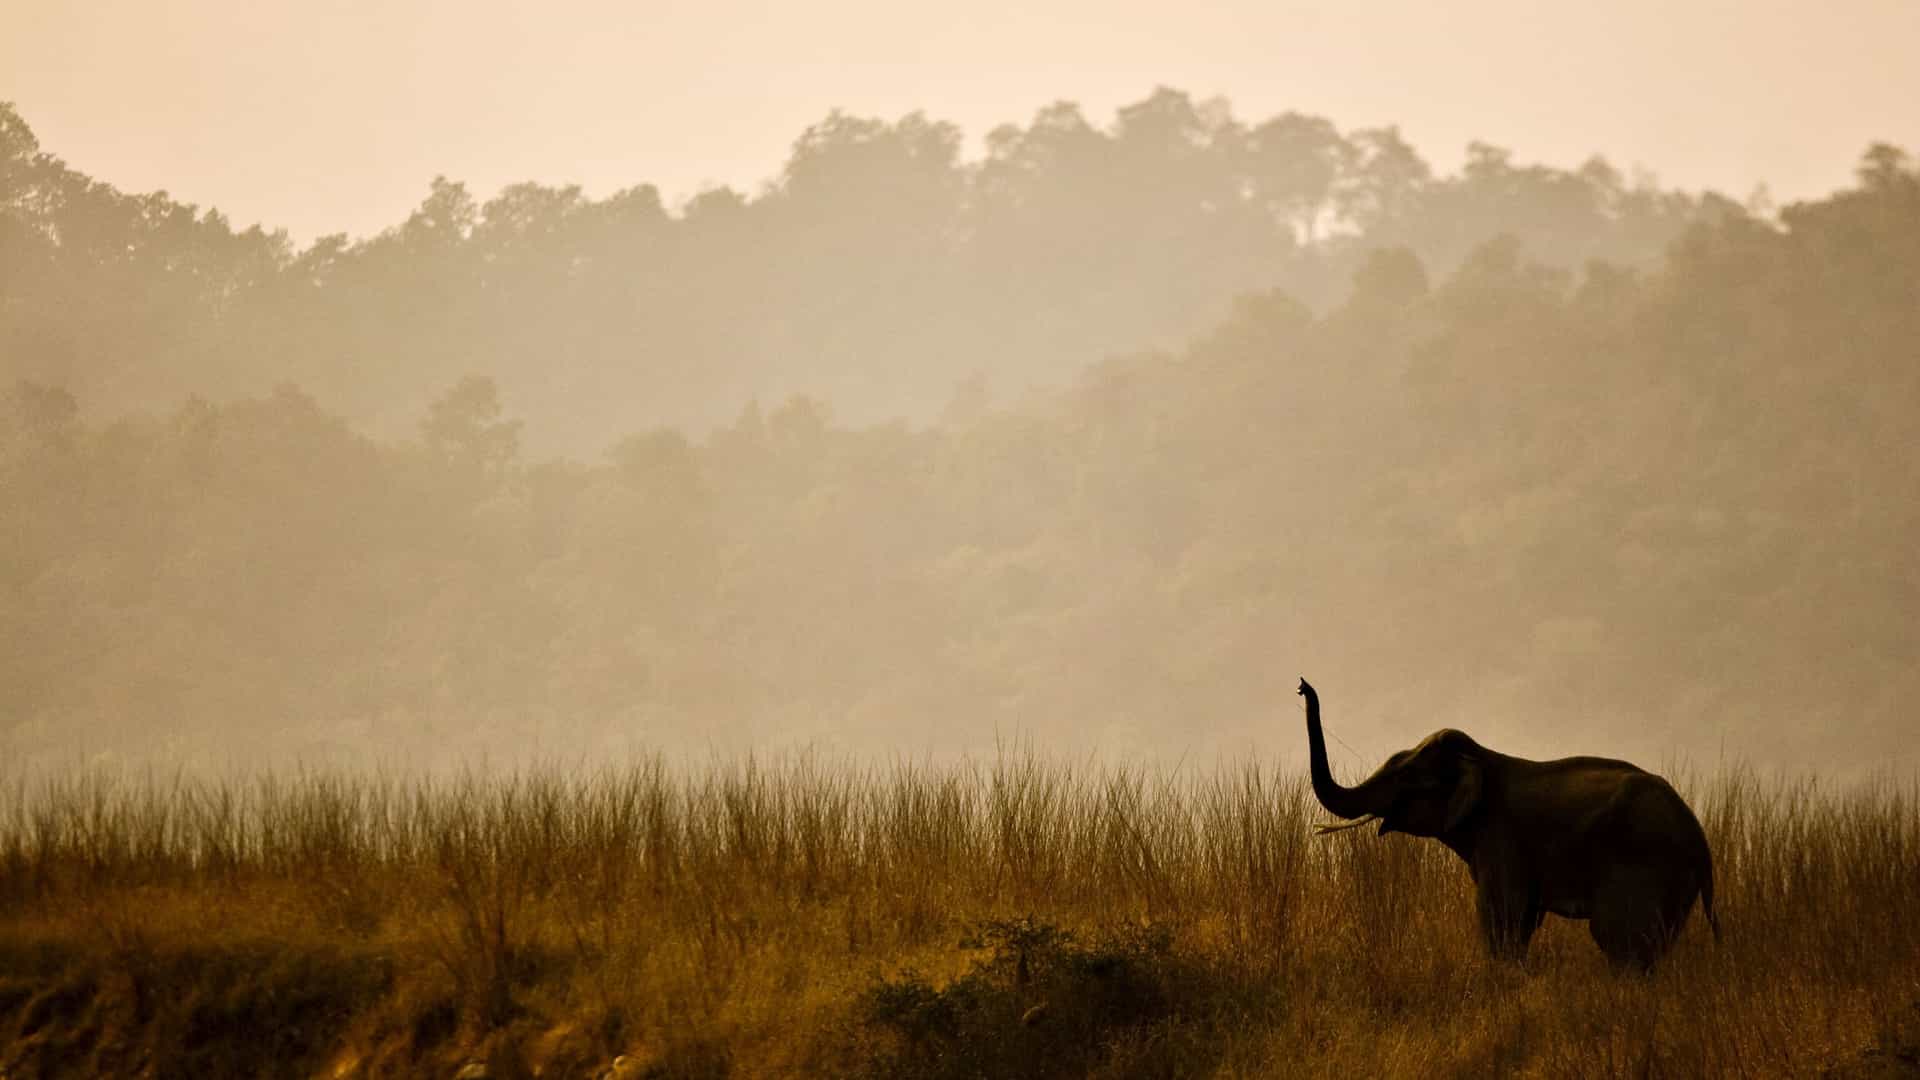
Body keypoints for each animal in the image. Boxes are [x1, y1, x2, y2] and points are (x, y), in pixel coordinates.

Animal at [1297, 677, 1719, 970]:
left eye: (1407, 777)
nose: (1303, 687)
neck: (1482, 757)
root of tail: (1700, 838)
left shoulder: (1501, 835)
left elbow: (1501, 913)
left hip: (1646, 863)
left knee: (1619, 937)